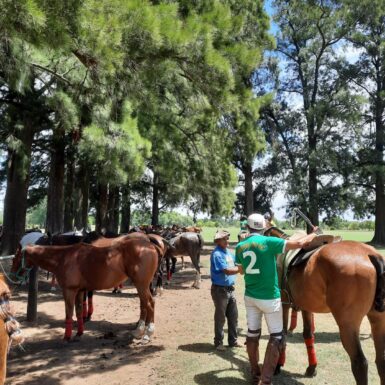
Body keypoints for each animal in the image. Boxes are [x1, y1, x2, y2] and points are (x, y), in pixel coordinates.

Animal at [11, 237, 159, 342]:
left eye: (15, 259)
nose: (12, 277)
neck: (64, 257)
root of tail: (149, 245)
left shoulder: (69, 291)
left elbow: (69, 313)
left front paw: (67, 337)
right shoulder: (80, 291)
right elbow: (79, 311)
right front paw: (79, 333)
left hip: (141, 284)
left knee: (150, 304)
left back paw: (148, 334)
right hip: (142, 285)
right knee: (144, 305)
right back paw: (139, 331)